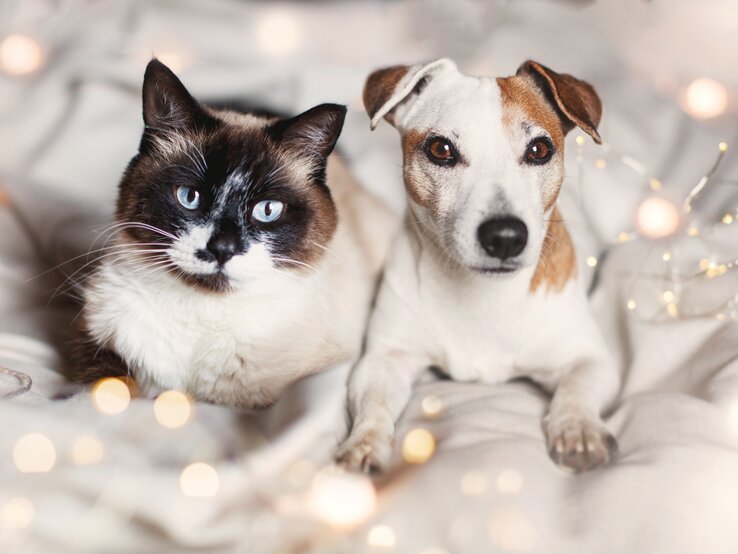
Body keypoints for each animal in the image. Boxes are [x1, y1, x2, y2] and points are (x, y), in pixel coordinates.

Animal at [336, 58, 620, 470]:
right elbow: (374, 404)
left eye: (539, 149)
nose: (505, 236)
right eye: (441, 149)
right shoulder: (384, 360)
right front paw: (364, 444)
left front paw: (578, 429)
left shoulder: (590, 359)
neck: (481, 294)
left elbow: (577, 388)